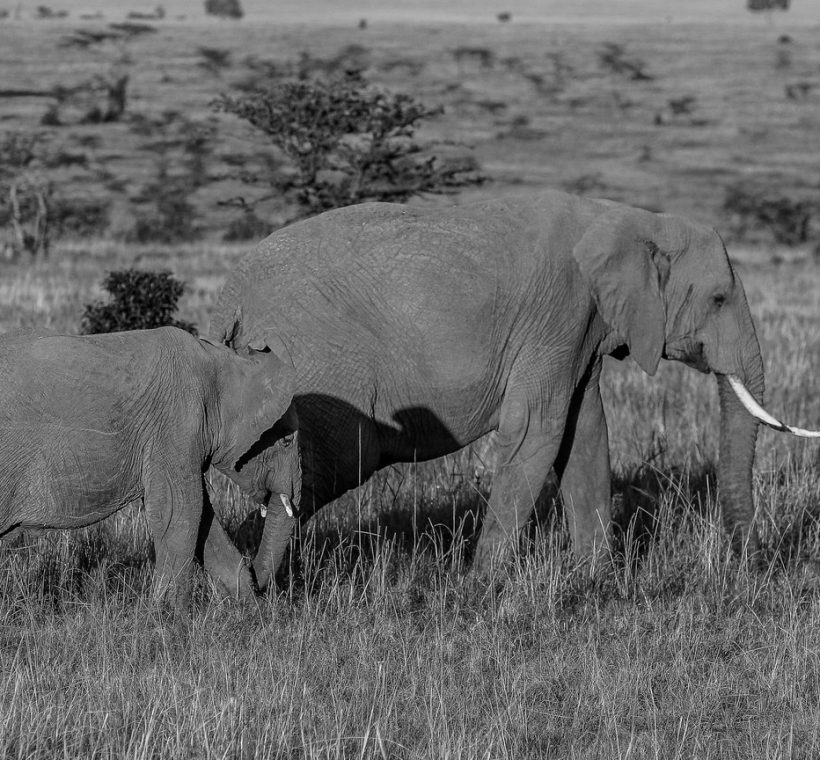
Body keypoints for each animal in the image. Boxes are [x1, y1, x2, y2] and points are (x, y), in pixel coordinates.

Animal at [0, 325, 301, 610]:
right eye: (286, 442)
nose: (259, 582)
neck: (222, 360)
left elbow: (203, 518)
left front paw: (247, 609)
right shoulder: (178, 421)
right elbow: (181, 511)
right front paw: (167, 616)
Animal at [209, 190, 816, 586]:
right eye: (718, 299)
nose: (755, 566)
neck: (630, 217)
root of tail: (230, 297)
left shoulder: (580, 329)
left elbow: (583, 434)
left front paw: (595, 582)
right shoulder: (559, 314)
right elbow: (537, 433)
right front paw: (480, 591)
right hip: (315, 364)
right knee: (315, 471)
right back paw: (256, 586)